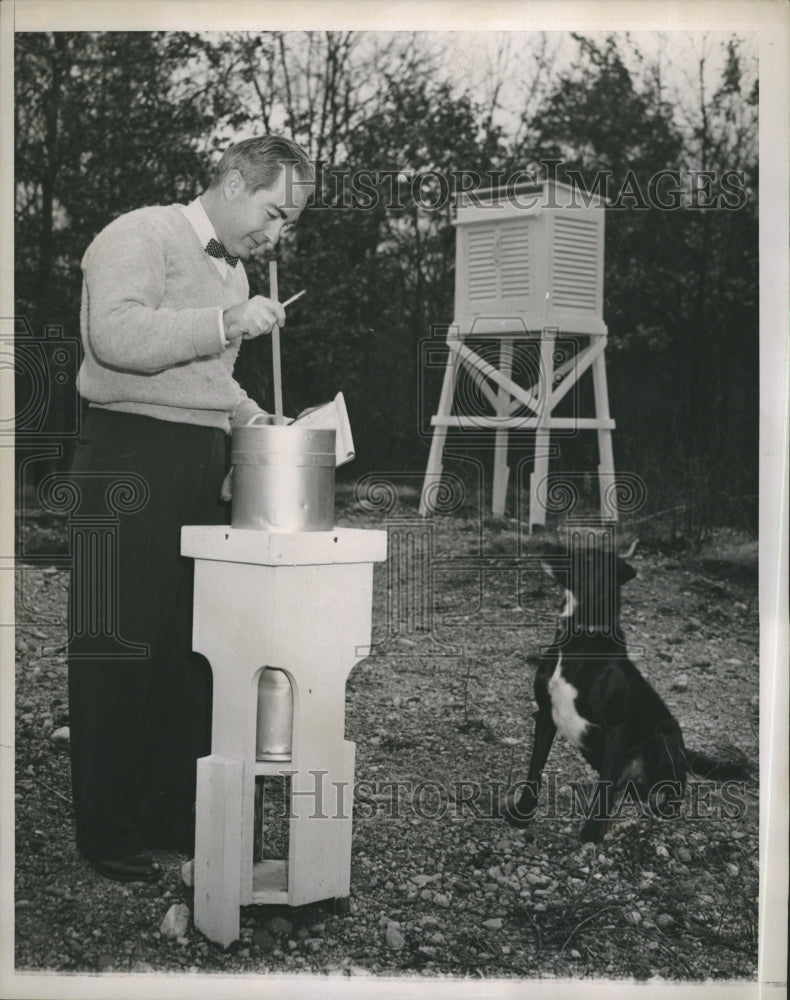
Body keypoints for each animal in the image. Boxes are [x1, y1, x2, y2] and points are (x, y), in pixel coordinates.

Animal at [508, 540, 756, 844]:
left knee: (677, 784)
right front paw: (522, 813)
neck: (578, 638)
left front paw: (591, 832)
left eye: (588, 558)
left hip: (663, 739)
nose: (548, 546)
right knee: (628, 786)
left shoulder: (617, 726)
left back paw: (664, 807)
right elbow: (535, 767)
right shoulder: (545, 713)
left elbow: (603, 786)